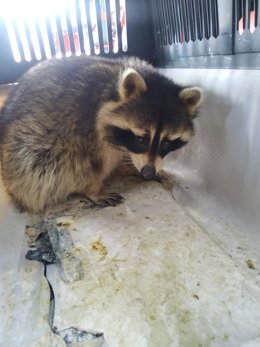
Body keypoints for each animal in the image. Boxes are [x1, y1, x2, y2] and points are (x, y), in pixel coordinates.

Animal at [0, 55, 201, 213]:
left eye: (167, 143)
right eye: (140, 139)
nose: (148, 173)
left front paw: (134, 167)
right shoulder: (81, 127)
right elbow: (83, 165)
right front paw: (93, 190)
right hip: (25, 146)